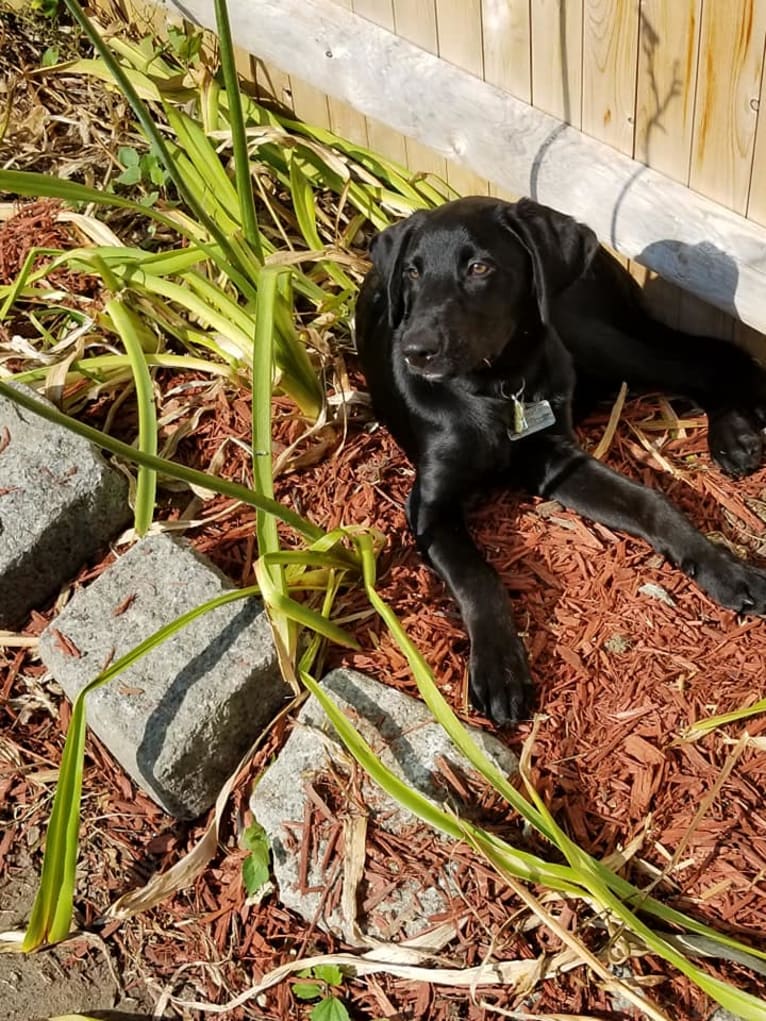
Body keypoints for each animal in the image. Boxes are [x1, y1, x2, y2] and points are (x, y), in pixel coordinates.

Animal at [355, 195, 766, 722]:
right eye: (411, 271)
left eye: (479, 267)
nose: (415, 352)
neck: (497, 390)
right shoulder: (431, 504)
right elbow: (476, 574)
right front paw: (500, 668)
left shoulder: (558, 458)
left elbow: (652, 501)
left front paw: (728, 570)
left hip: (595, 337)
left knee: (709, 362)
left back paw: (734, 434)